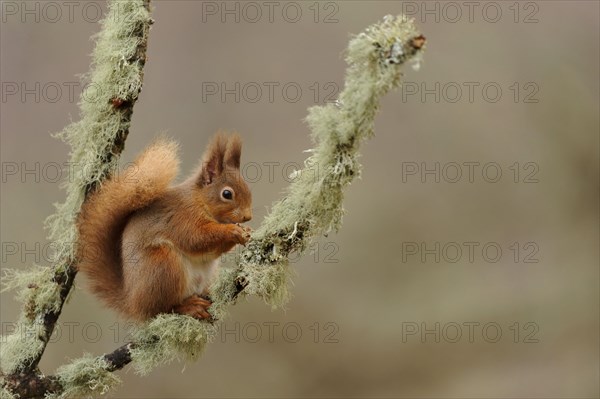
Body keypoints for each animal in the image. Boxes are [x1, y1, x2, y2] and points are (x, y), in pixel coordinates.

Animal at [76, 134, 252, 322]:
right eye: (227, 194)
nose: (248, 217)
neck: (199, 200)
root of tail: (132, 302)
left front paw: (245, 232)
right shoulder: (182, 218)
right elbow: (197, 239)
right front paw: (233, 231)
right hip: (163, 266)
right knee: (162, 309)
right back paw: (189, 307)